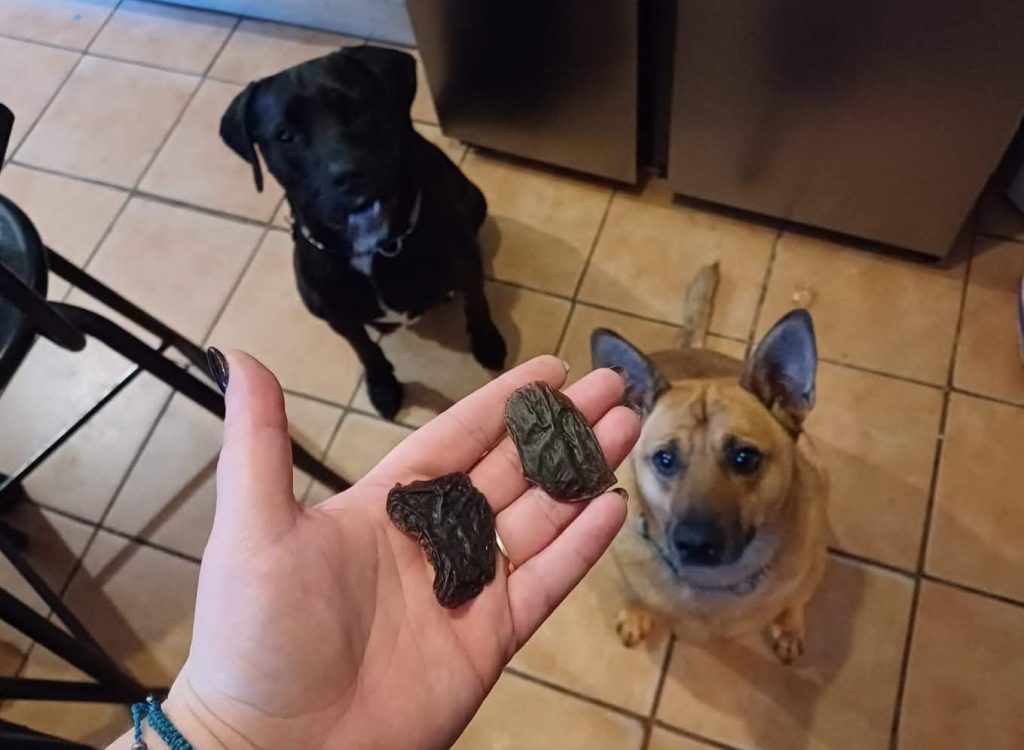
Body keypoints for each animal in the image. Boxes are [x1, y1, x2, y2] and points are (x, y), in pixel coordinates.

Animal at [220, 45, 506, 418]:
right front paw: (382, 386)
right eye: (285, 136)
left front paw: (487, 343)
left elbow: (477, 305)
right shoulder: (336, 316)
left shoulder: (466, 267)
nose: (348, 173)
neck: (371, 244)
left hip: (475, 201)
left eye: (356, 107)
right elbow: (365, 349)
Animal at [591, 266, 828, 663]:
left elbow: (797, 599)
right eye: (665, 459)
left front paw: (790, 624)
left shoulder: (810, 568)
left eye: (744, 458)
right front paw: (637, 612)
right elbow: (635, 593)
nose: (696, 545)